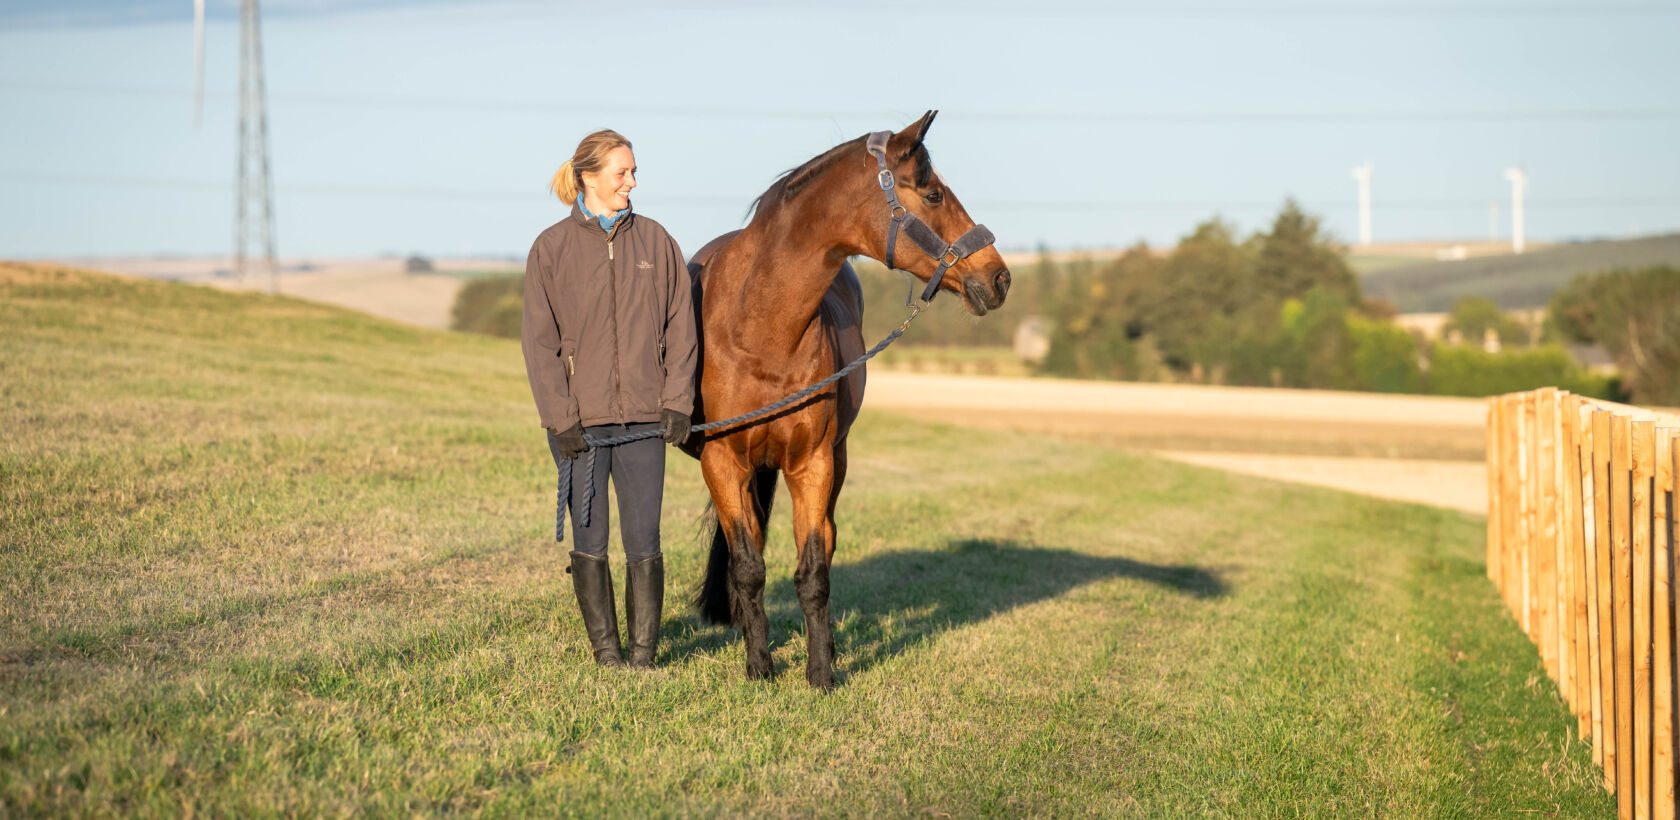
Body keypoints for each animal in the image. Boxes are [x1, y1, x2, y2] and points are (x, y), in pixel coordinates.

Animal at [680, 110, 1011, 689]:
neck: (758, 328)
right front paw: (760, 667)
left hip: (835, 460)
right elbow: (747, 566)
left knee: (826, 543)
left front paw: (821, 673)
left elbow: (813, 571)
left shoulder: (813, 463)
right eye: (932, 194)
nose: (1000, 277)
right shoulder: (723, 463)